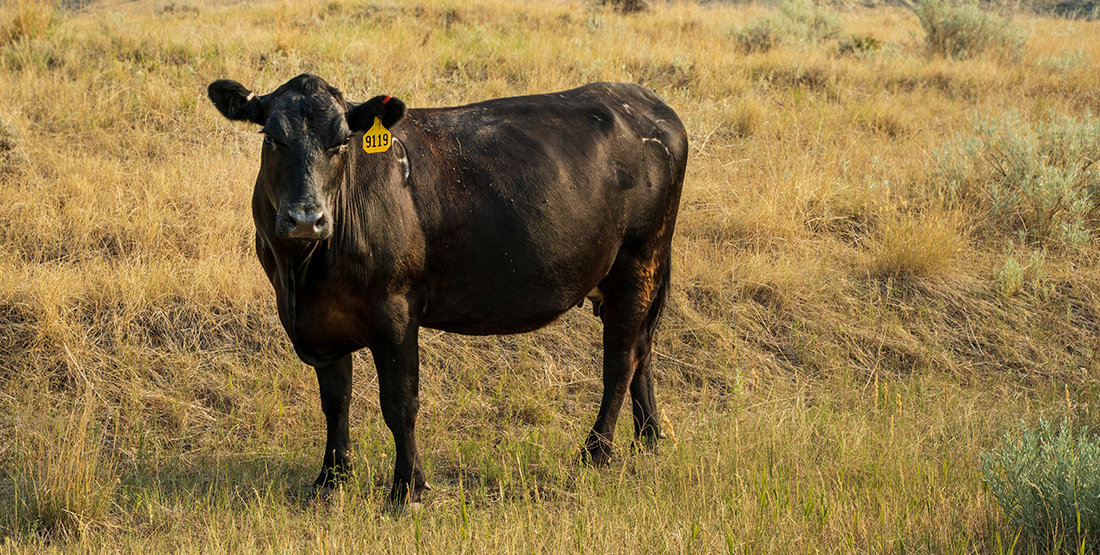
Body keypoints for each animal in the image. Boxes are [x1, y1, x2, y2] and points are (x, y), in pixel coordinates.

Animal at [207, 72, 686, 501]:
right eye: (271, 138)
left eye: (341, 141)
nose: (306, 218)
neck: (302, 276)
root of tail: (643, 99)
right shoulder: (323, 322)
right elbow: (335, 400)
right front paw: (331, 478)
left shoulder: (395, 309)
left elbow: (400, 402)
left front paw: (407, 487)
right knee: (642, 350)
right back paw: (649, 439)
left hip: (638, 262)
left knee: (620, 361)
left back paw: (596, 452)